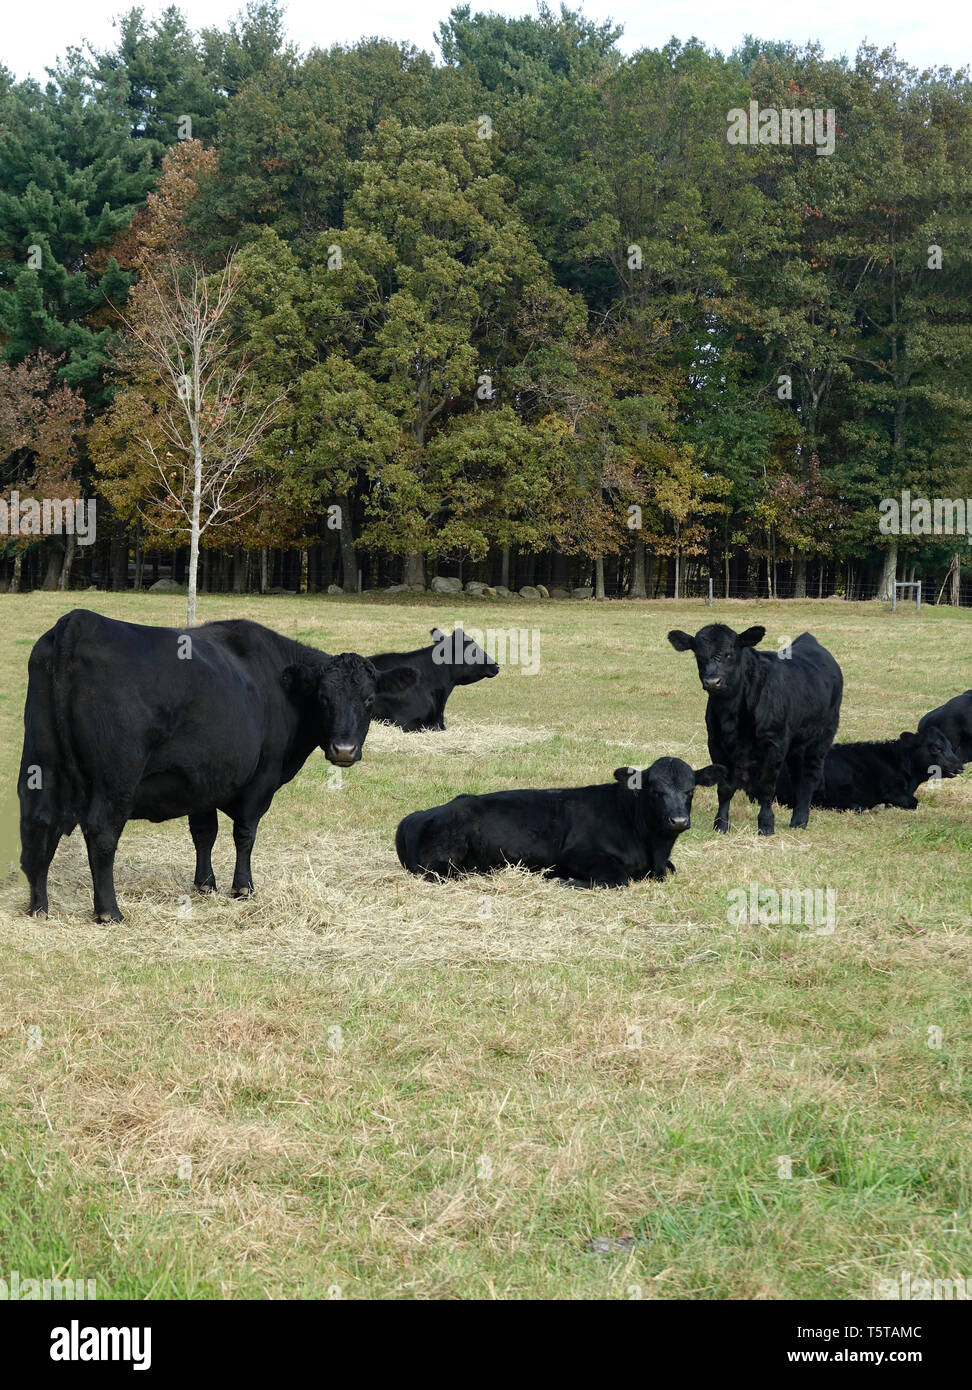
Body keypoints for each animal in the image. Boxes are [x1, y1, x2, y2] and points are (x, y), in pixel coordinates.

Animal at [18, 610, 415, 922]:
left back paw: (39, 907)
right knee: (101, 832)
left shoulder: (201, 778)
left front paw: (205, 884)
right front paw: (243, 888)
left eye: (368, 699)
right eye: (322, 698)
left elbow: (204, 832)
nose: (343, 750)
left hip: (41, 761)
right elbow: (245, 834)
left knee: (38, 822)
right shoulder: (262, 778)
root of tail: (79, 620)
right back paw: (109, 912)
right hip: (116, 777)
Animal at [395, 757, 723, 887]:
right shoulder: (577, 855)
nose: (678, 820)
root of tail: (415, 817)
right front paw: (562, 880)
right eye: (655, 791)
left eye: (690, 791)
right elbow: (618, 879)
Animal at [667, 624, 843, 835]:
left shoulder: (774, 743)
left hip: (821, 738)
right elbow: (724, 788)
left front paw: (766, 825)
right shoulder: (716, 743)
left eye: (729, 653)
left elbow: (766, 787)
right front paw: (720, 824)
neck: (731, 713)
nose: (712, 681)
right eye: (698, 655)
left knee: (809, 777)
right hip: (796, 745)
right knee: (798, 776)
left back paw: (799, 821)